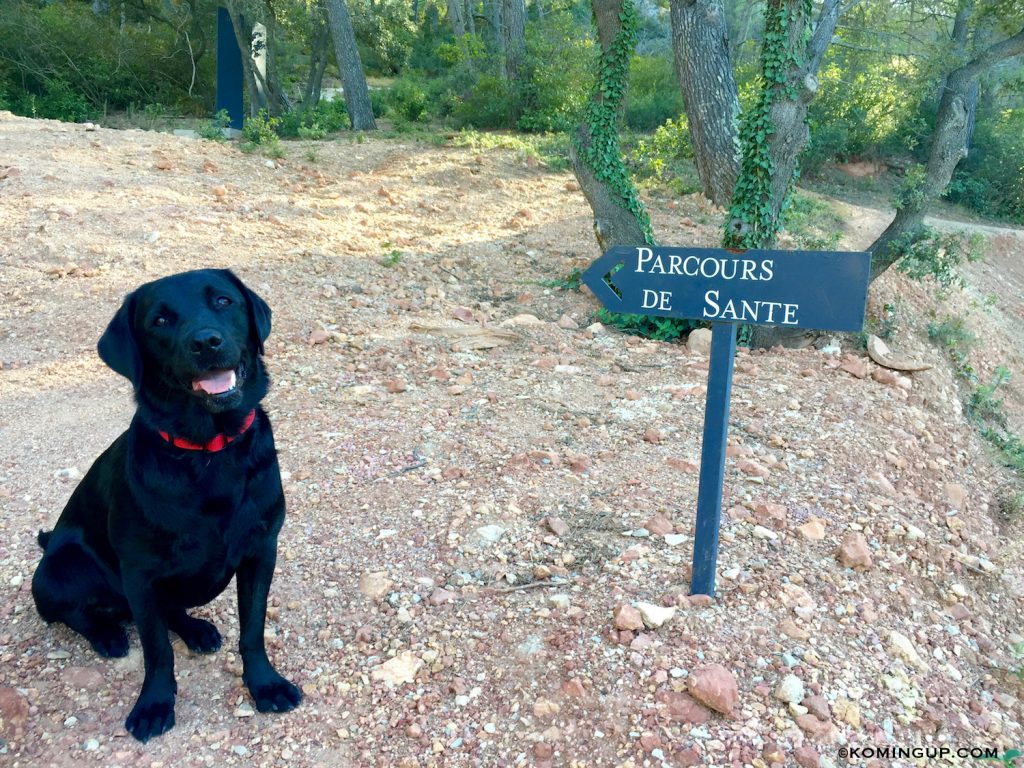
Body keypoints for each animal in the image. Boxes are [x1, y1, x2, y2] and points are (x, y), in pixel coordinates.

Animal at [30, 272, 299, 745]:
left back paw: (196, 629)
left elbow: (253, 630)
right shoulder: (140, 572)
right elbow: (157, 651)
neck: (209, 452)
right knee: (74, 614)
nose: (206, 342)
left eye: (223, 301)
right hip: (59, 569)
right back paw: (108, 636)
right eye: (160, 320)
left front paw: (265, 685)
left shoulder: (261, 551)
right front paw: (154, 705)